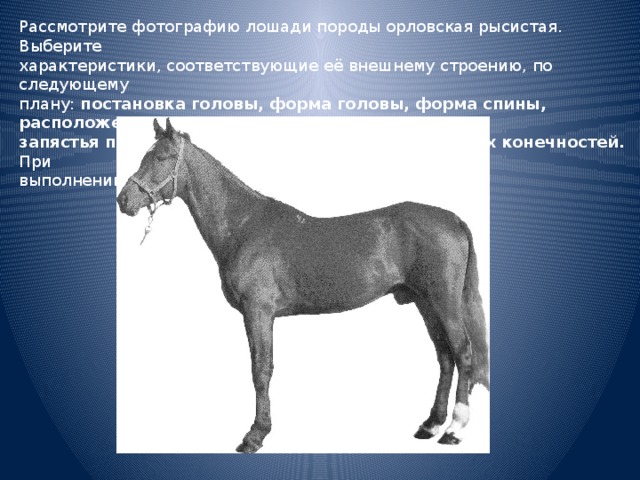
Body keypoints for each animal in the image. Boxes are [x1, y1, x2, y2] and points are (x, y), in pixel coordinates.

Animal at [116, 118, 489, 453]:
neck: (243, 226)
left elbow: (261, 370)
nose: (124, 200)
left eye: (162, 157)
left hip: (444, 302)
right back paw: (430, 425)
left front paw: (255, 436)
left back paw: (454, 429)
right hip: (425, 304)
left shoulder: (258, 312)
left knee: (462, 352)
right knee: (445, 357)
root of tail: (453, 219)